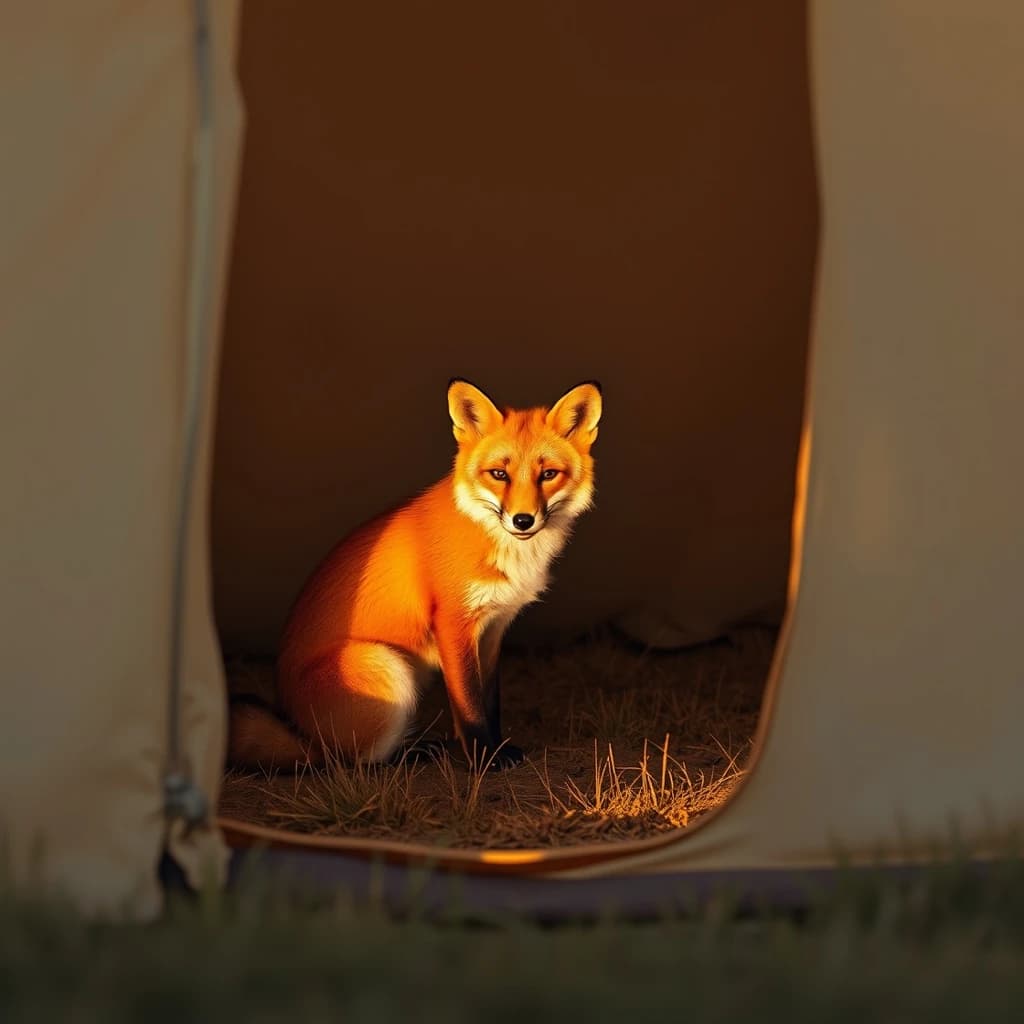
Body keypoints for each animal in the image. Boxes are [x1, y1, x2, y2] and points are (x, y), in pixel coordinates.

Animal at [228, 378, 603, 773]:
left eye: (548, 474)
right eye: (499, 474)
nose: (522, 520)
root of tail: (298, 729)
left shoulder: (494, 628)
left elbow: (490, 702)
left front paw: (498, 748)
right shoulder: (453, 624)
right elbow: (470, 707)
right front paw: (484, 759)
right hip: (387, 667)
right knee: (351, 762)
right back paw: (410, 754)